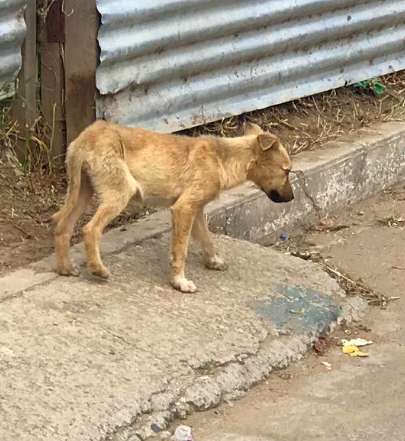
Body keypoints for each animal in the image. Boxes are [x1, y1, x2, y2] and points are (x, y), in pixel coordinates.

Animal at [52, 120, 294, 292]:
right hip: (119, 192)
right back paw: (98, 269)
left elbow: (207, 240)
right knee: (90, 229)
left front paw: (213, 261)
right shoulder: (184, 209)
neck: (223, 159)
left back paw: (65, 268)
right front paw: (179, 282)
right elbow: (181, 250)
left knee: (62, 228)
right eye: (287, 170)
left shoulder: (196, 211)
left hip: (82, 193)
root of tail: (86, 137)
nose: (292, 198)